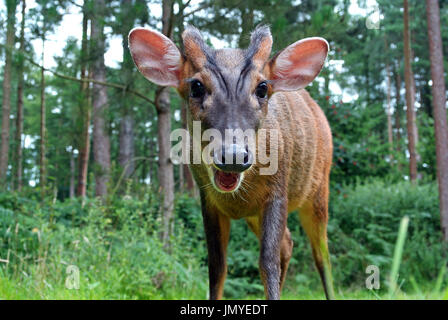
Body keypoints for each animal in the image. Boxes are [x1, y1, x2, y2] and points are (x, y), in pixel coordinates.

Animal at [128, 24, 334, 300]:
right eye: (196, 86)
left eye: (262, 88)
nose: (233, 155)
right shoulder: (207, 199)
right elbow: (217, 266)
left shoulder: (278, 191)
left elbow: (267, 263)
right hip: (256, 214)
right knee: (288, 243)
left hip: (319, 189)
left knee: (321, 254)